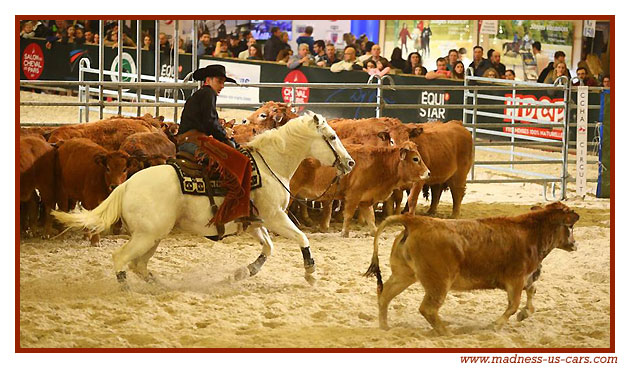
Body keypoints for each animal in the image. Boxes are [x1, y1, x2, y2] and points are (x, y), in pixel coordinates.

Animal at [51, 113, 356, 286]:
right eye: (332, 136)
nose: (350, 162)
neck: (270, 165)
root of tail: (125, 185)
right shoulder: (275, 217)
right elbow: (302, 238)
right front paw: (310, 272)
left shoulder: (255, 221)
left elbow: (268, 248)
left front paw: (243, 272)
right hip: (147, 235)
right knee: (121, 258)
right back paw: (127, 289)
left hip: (152, 236)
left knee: (138, 265)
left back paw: (159, 286)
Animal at [290, 142, 430, 237]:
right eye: (415, 159)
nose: (428, 173)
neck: (379, 163)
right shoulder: (353, 195)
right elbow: (348, 215)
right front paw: (344, 233)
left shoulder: (365, 199)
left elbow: (371, 218)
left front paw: (375, 232)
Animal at [366, 203, 584, 334]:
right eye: (570, 227)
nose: (575, 244)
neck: (530, 233)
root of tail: (415, 221)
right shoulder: (516, 280)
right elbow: (513, 305)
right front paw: (496, 325)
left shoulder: (527, 278)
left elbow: (531, 293)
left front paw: (525, 313)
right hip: (439, 283)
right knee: (428, 308)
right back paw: (447, 333)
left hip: (404, 274)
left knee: (385, 296)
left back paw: (384, 326)